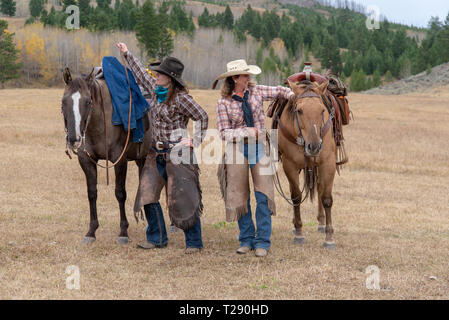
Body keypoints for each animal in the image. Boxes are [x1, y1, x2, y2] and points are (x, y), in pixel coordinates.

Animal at [61, 66, 152, 244]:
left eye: (88, 102)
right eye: (63, 102)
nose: (74, 138)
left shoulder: (120, 160)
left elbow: (120, 193)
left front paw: (123, 232)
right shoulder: (86, 160)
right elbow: (92, 193)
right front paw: (91, 232)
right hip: (141, 158)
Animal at [272, 79, 338, 249]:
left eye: (322, 110)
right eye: (299, 110)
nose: (314, 146)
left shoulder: (328, 163)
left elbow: (326, 198)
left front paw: (329, 237)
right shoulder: (290, 165)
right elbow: (296, 197)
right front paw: (299, 233)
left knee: (320, 188)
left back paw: (321, 223)